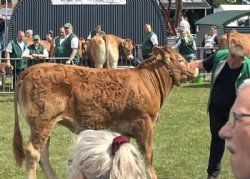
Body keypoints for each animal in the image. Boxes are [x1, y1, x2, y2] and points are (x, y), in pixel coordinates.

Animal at [13, 46, 197, 179]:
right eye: (180, 60)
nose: (194, 69)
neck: (148, 82)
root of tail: (33, 68)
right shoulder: (145, 123)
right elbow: (148, 154)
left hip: (44, 124)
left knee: (43, 153)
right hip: (42, 121)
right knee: (33, 152)